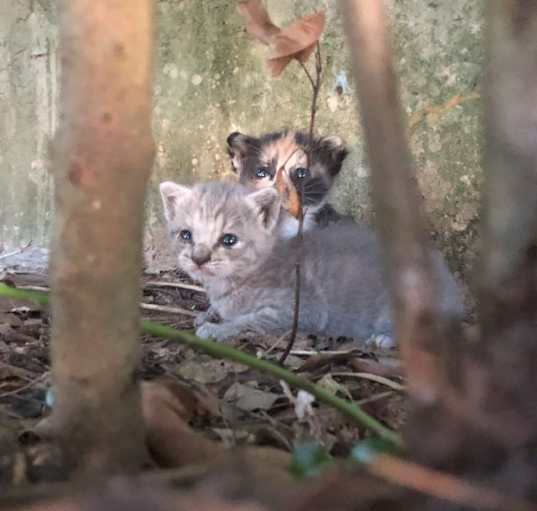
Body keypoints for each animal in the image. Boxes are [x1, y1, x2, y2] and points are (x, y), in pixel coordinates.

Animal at [158, 180, 460, 348]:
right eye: (186, 235)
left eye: (229, 240)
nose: (199, 258)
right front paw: (208, 313)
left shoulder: (303, 310)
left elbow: (250, 320)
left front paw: (218, 329)